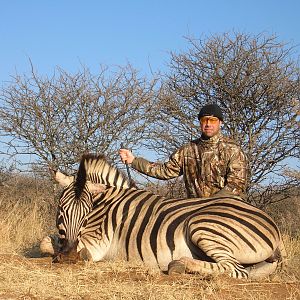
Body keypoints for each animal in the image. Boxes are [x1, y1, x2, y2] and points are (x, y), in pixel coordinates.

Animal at [44, 154, 286, 280]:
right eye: (61, 209)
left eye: (86, 214)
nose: (68, 257)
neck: (104, 203)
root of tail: (273, 225)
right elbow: (47, 241)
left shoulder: (97, 242)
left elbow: (54, 245)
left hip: (202, 226)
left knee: (234, 269)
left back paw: (180, 264)